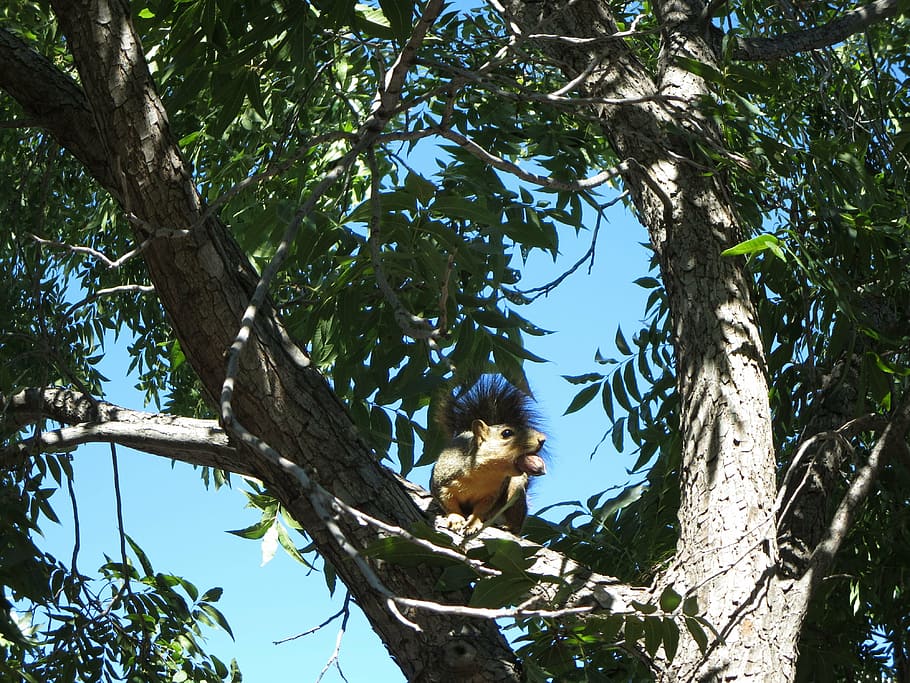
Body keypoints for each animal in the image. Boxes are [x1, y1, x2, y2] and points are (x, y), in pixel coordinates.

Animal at [430, 375, 547, 534]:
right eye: (506, 433)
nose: (542, 439)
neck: (483, 474)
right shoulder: (441, 482)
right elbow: (448, 504)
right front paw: (456, 519)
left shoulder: (491, 495)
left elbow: (481, 510)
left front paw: (473, 523)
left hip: (516, 489)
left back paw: (510, 526)